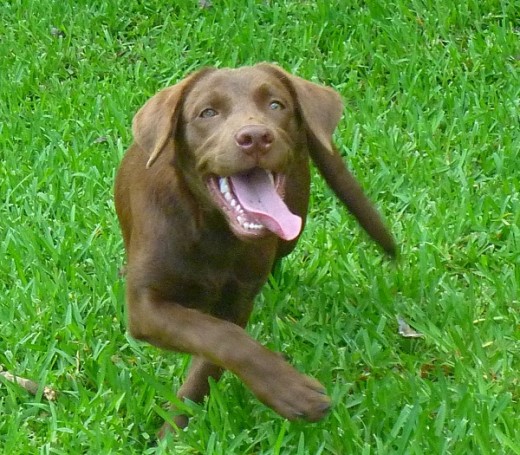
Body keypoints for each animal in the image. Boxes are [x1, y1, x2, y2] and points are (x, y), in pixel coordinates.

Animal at [115, 62, 394, 436]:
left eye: (276, 105)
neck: (214, 229)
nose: (256, 137)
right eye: (207, 112)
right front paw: (293, 393)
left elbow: (214, 354)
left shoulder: (237, 302)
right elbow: (220, 337)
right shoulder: (145, 306)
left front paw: (176, 427)